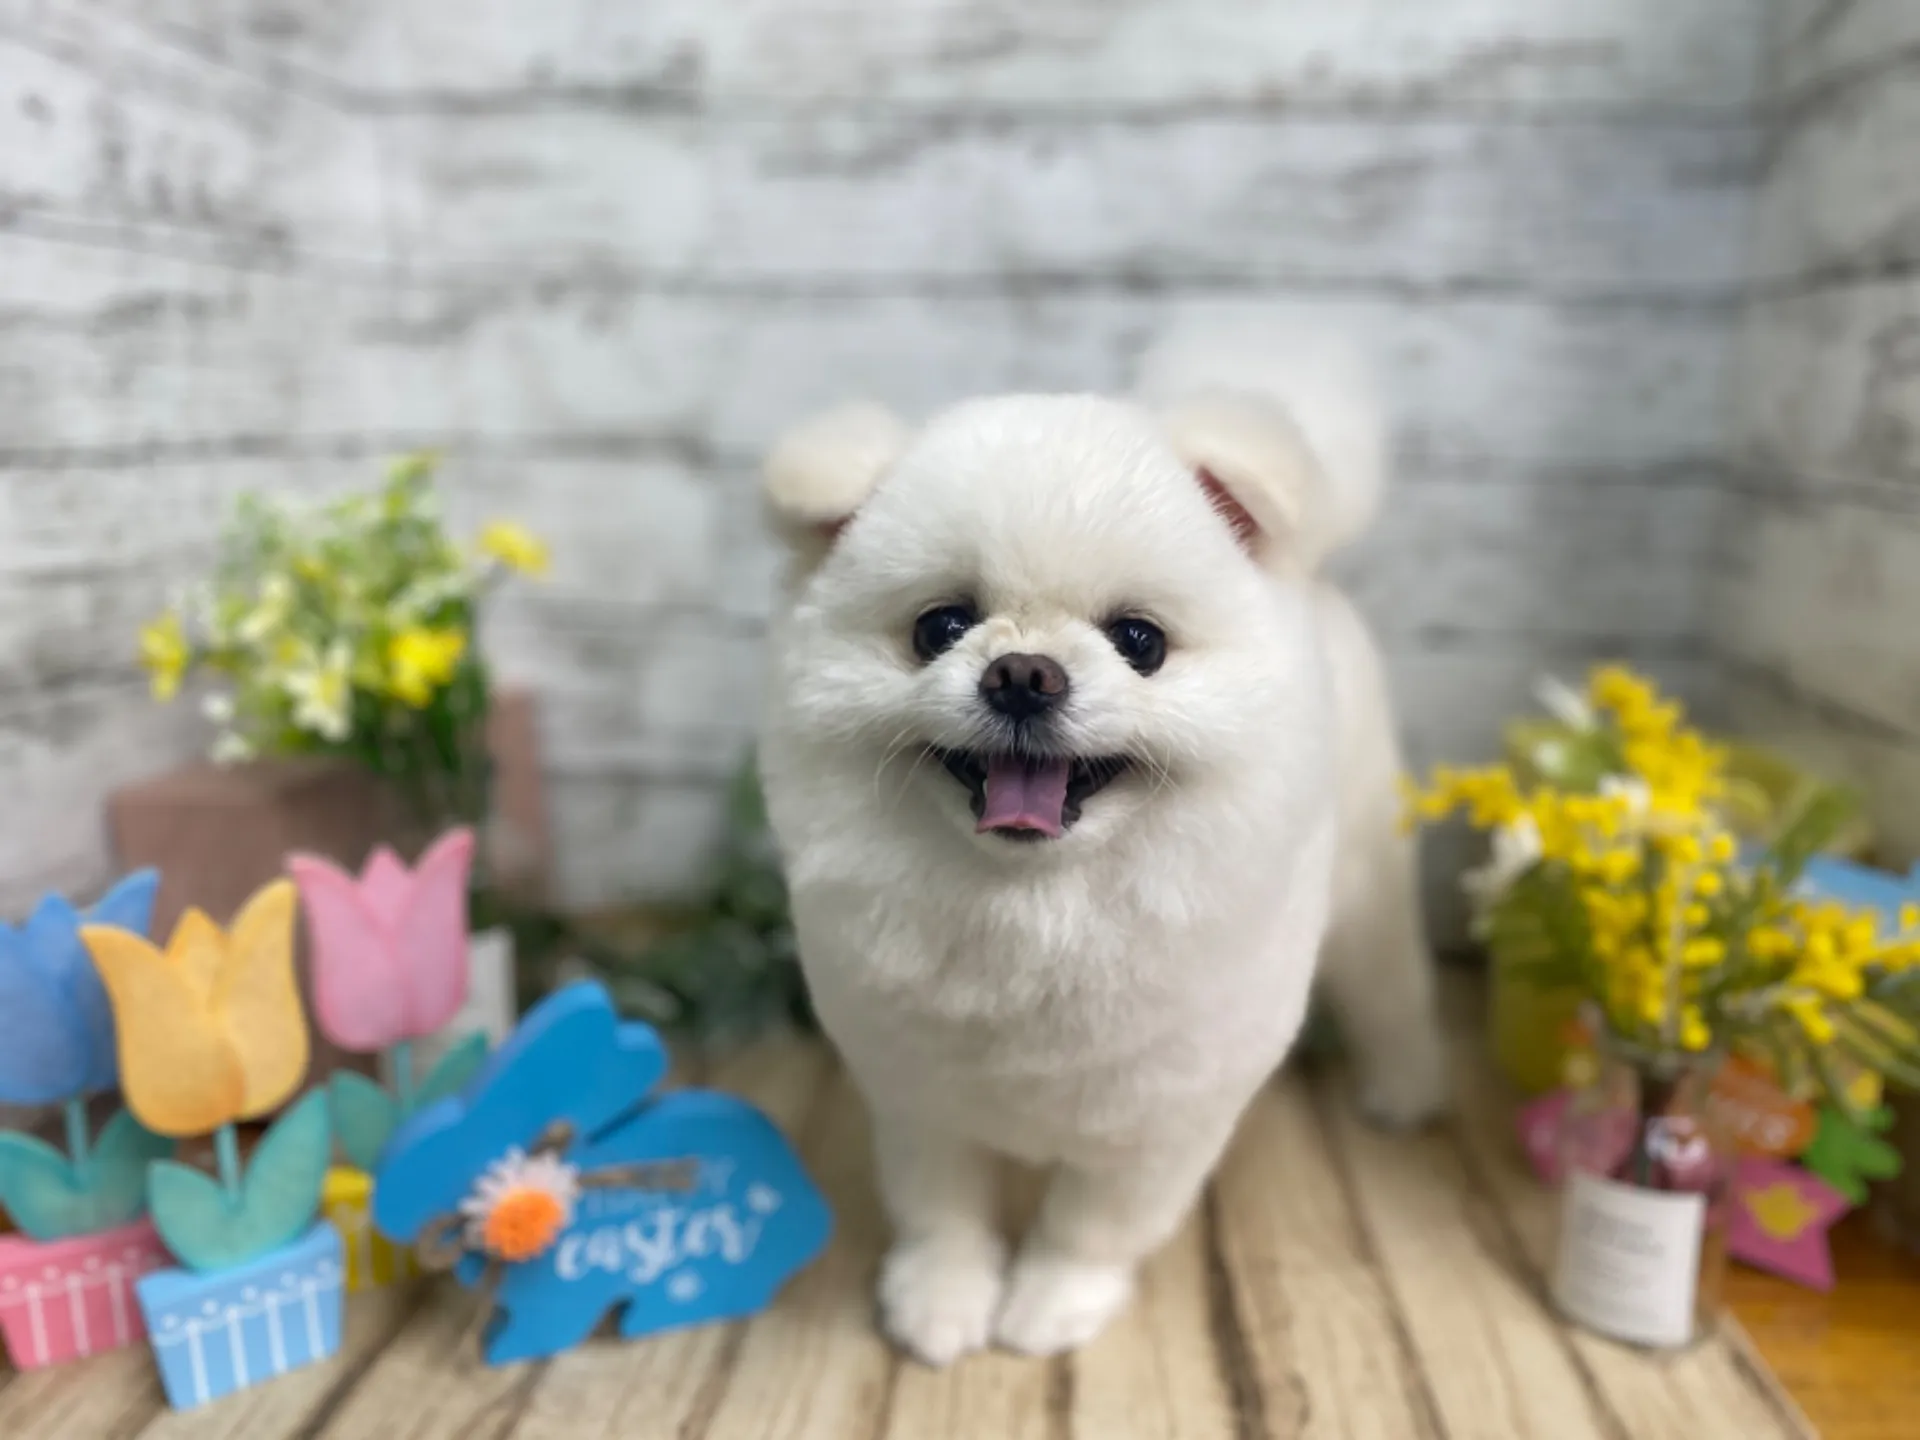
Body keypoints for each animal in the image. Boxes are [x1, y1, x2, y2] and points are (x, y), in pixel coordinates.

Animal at [755, 324, 1446, 1365]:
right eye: (939, 627)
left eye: (1140, 640)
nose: (1022, 673)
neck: (1041, 911)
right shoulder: (917, 1092)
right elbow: (942, 1208)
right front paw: (943, 1299)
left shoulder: (1159, 1118)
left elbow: (1092, 1224)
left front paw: (1051, 1302)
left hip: (1366, 884)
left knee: (1389, 985)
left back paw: (1405, 1086)